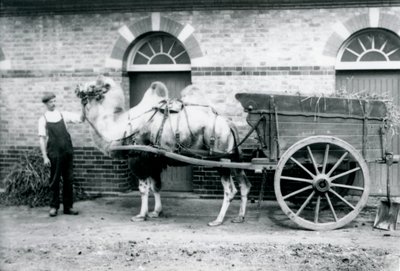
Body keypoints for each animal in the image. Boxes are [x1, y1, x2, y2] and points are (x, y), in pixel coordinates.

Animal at [75, 75, 250, 226]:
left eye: (92, 87)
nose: (77, 88)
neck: (120, 126)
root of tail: (229, 124)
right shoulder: (154, 159)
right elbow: (156, 186)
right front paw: (156, 212)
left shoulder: (138, 157)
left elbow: (143, 188)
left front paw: (141, 215)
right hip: (233, 157)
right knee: (244, 184)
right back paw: (240, 217)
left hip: (221, 158)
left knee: (230, 190)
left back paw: (217, 220)